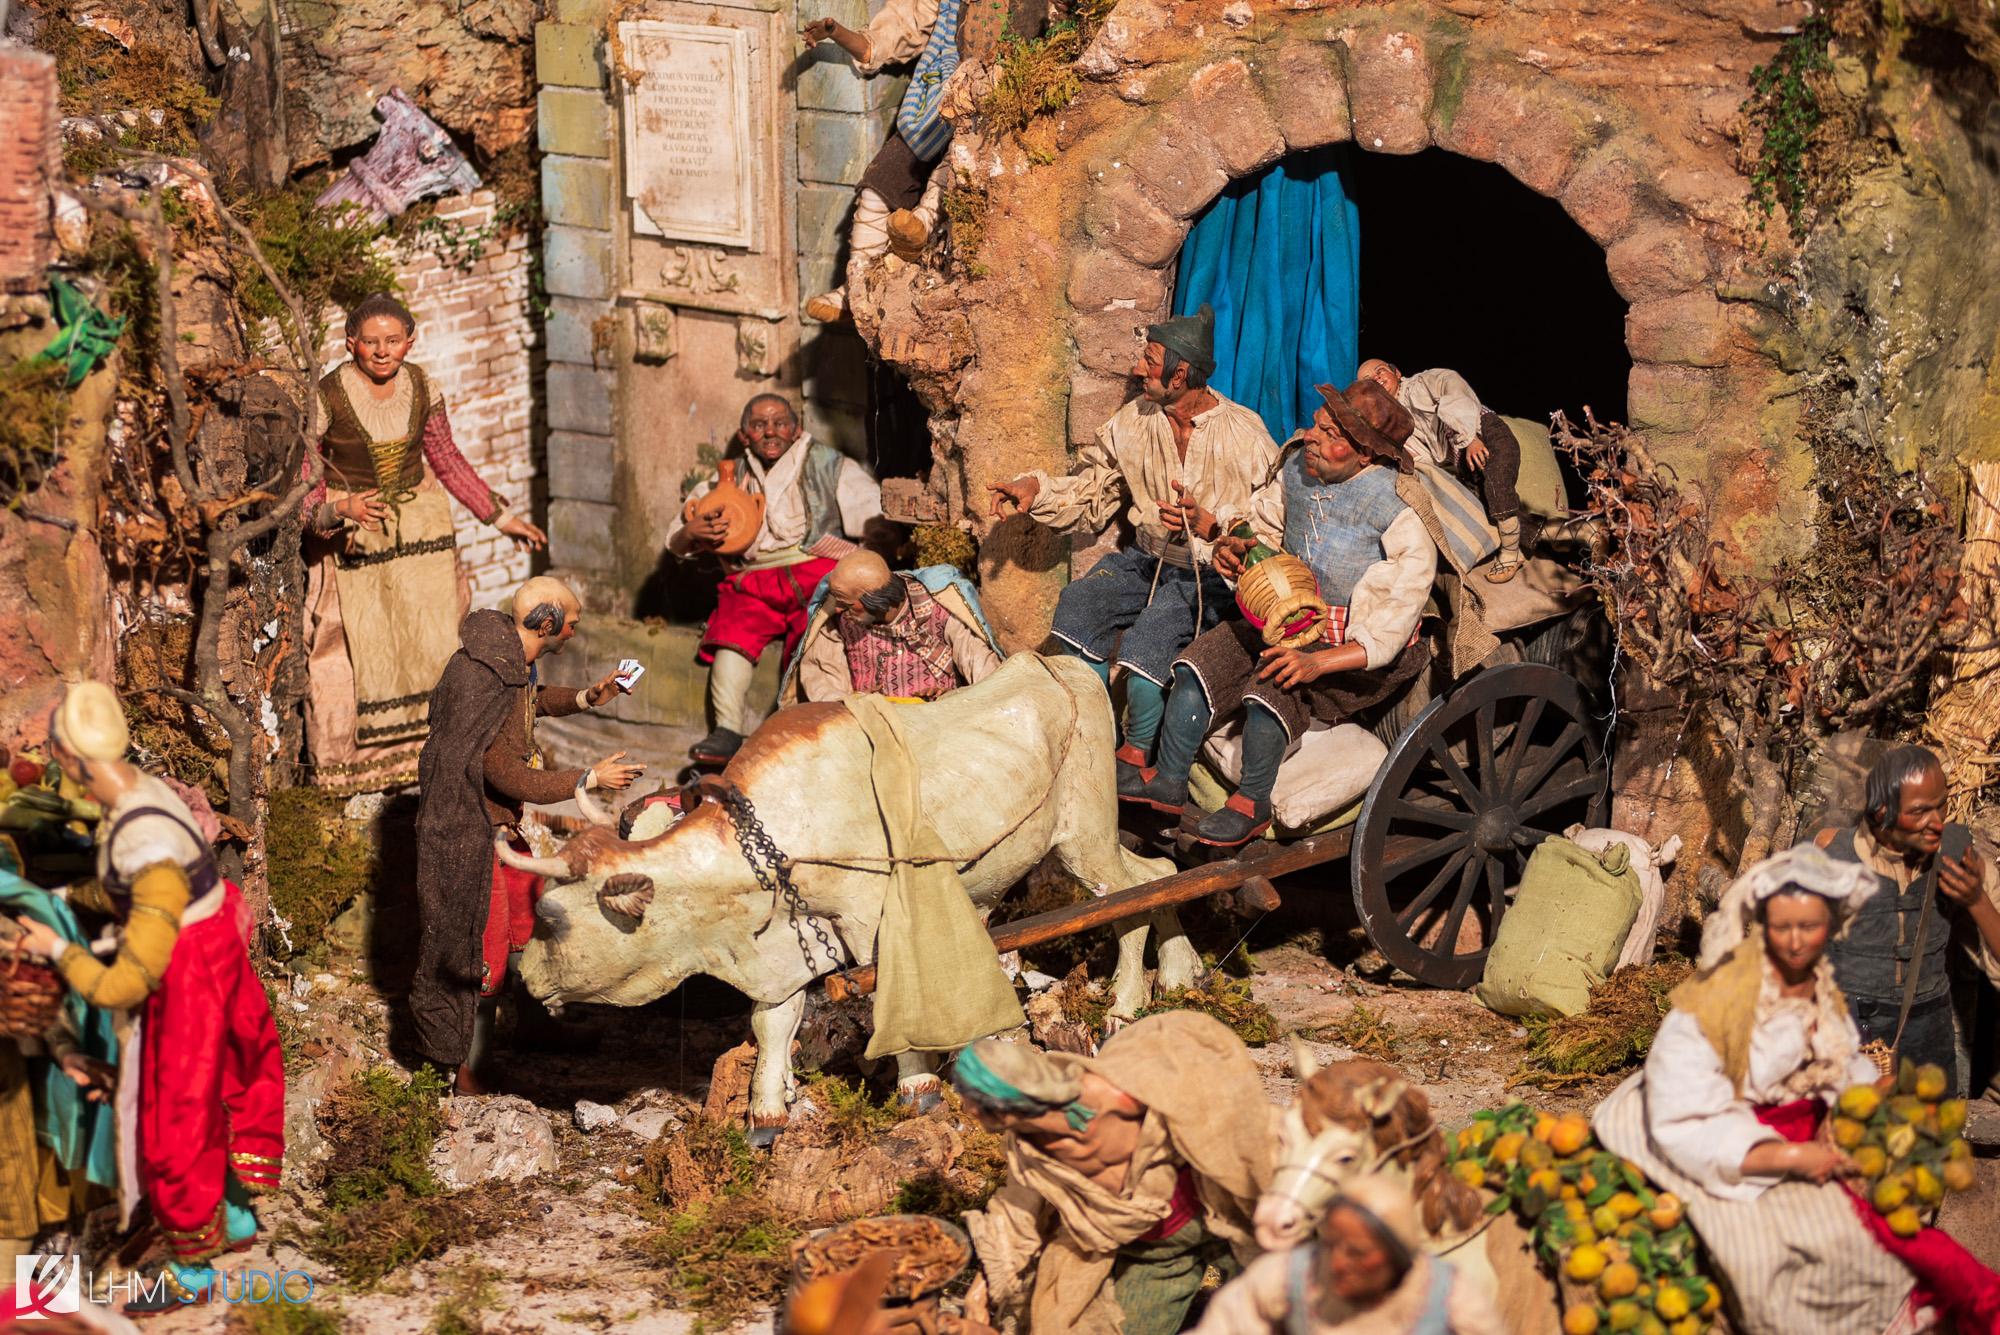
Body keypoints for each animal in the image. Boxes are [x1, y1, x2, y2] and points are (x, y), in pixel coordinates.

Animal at [508, 653, 1198, 1143]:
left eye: (550, 915)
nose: (524, 975)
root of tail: (1063, 665)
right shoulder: (791, 940)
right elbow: (773, 1020)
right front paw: (768, 1111)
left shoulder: (874, 918)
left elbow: (894, 995)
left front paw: (918, 1091)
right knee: (1162, 868)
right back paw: (1181, 976)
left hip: (1085, 835)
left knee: (1131, 897)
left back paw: (1127, 1004)